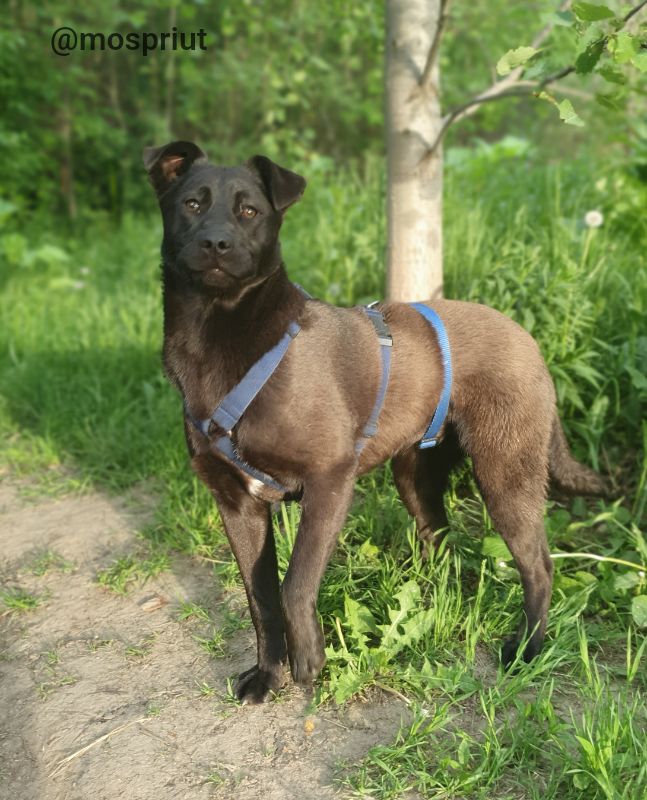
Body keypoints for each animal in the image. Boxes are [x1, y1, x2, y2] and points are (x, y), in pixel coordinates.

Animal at [143, 141, 612, 704]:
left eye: (249, 211)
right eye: (192, 203)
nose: (216, 242)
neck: (223, 335)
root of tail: (529, 340)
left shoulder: (330, 480)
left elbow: (294, 582)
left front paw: (309, 658)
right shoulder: (237, 504)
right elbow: (260, 597)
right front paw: (268, 674)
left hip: (505, 473)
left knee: (539, 565)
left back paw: (527, 649)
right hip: (415, 478)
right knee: (440, 542)